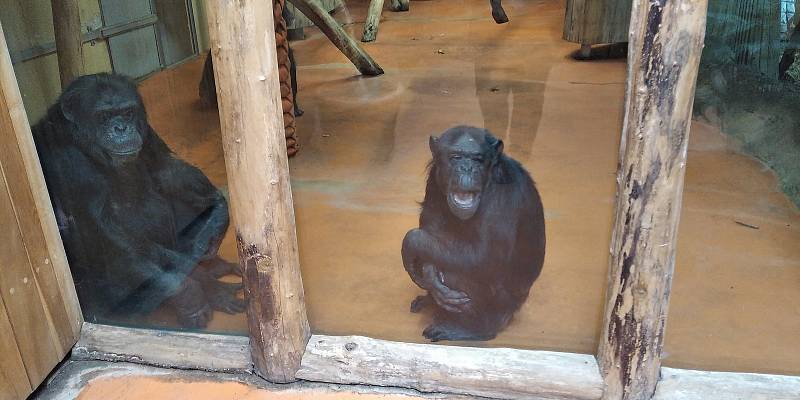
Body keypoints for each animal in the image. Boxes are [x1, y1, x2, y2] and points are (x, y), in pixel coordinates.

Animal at [32, 74, 244, 328]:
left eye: (128, 112)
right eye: (103, 116)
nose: (121, 128)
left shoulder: (147, 132)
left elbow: (166, 168)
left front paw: (218, 213)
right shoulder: (69, 163)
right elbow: (111, 238)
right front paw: (194, 296)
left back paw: (215, 265)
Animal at [404, 126, 548, 340]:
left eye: (477, 159)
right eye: (456, 157)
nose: (466, 168)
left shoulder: (503, 195)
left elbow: (485, 256)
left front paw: (411, 242)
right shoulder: (434, 177)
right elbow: (431, 221)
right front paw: (429, 274)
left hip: (503, 306)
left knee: (456, 273)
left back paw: (473, 328)